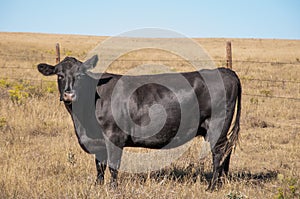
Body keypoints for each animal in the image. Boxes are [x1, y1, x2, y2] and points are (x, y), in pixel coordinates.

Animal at [38, 55, 241, 190]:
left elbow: (113, 165)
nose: (69, 95)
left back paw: (212, 187)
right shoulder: (97, 142)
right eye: (59, 75)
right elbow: (99, 165)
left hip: (217, 126)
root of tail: (225, 71)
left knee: (218, 153)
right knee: (226, 152)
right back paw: (221, 183)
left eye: (80, 76)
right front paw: (98, 186)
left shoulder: (114, 137)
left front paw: (113, 189)